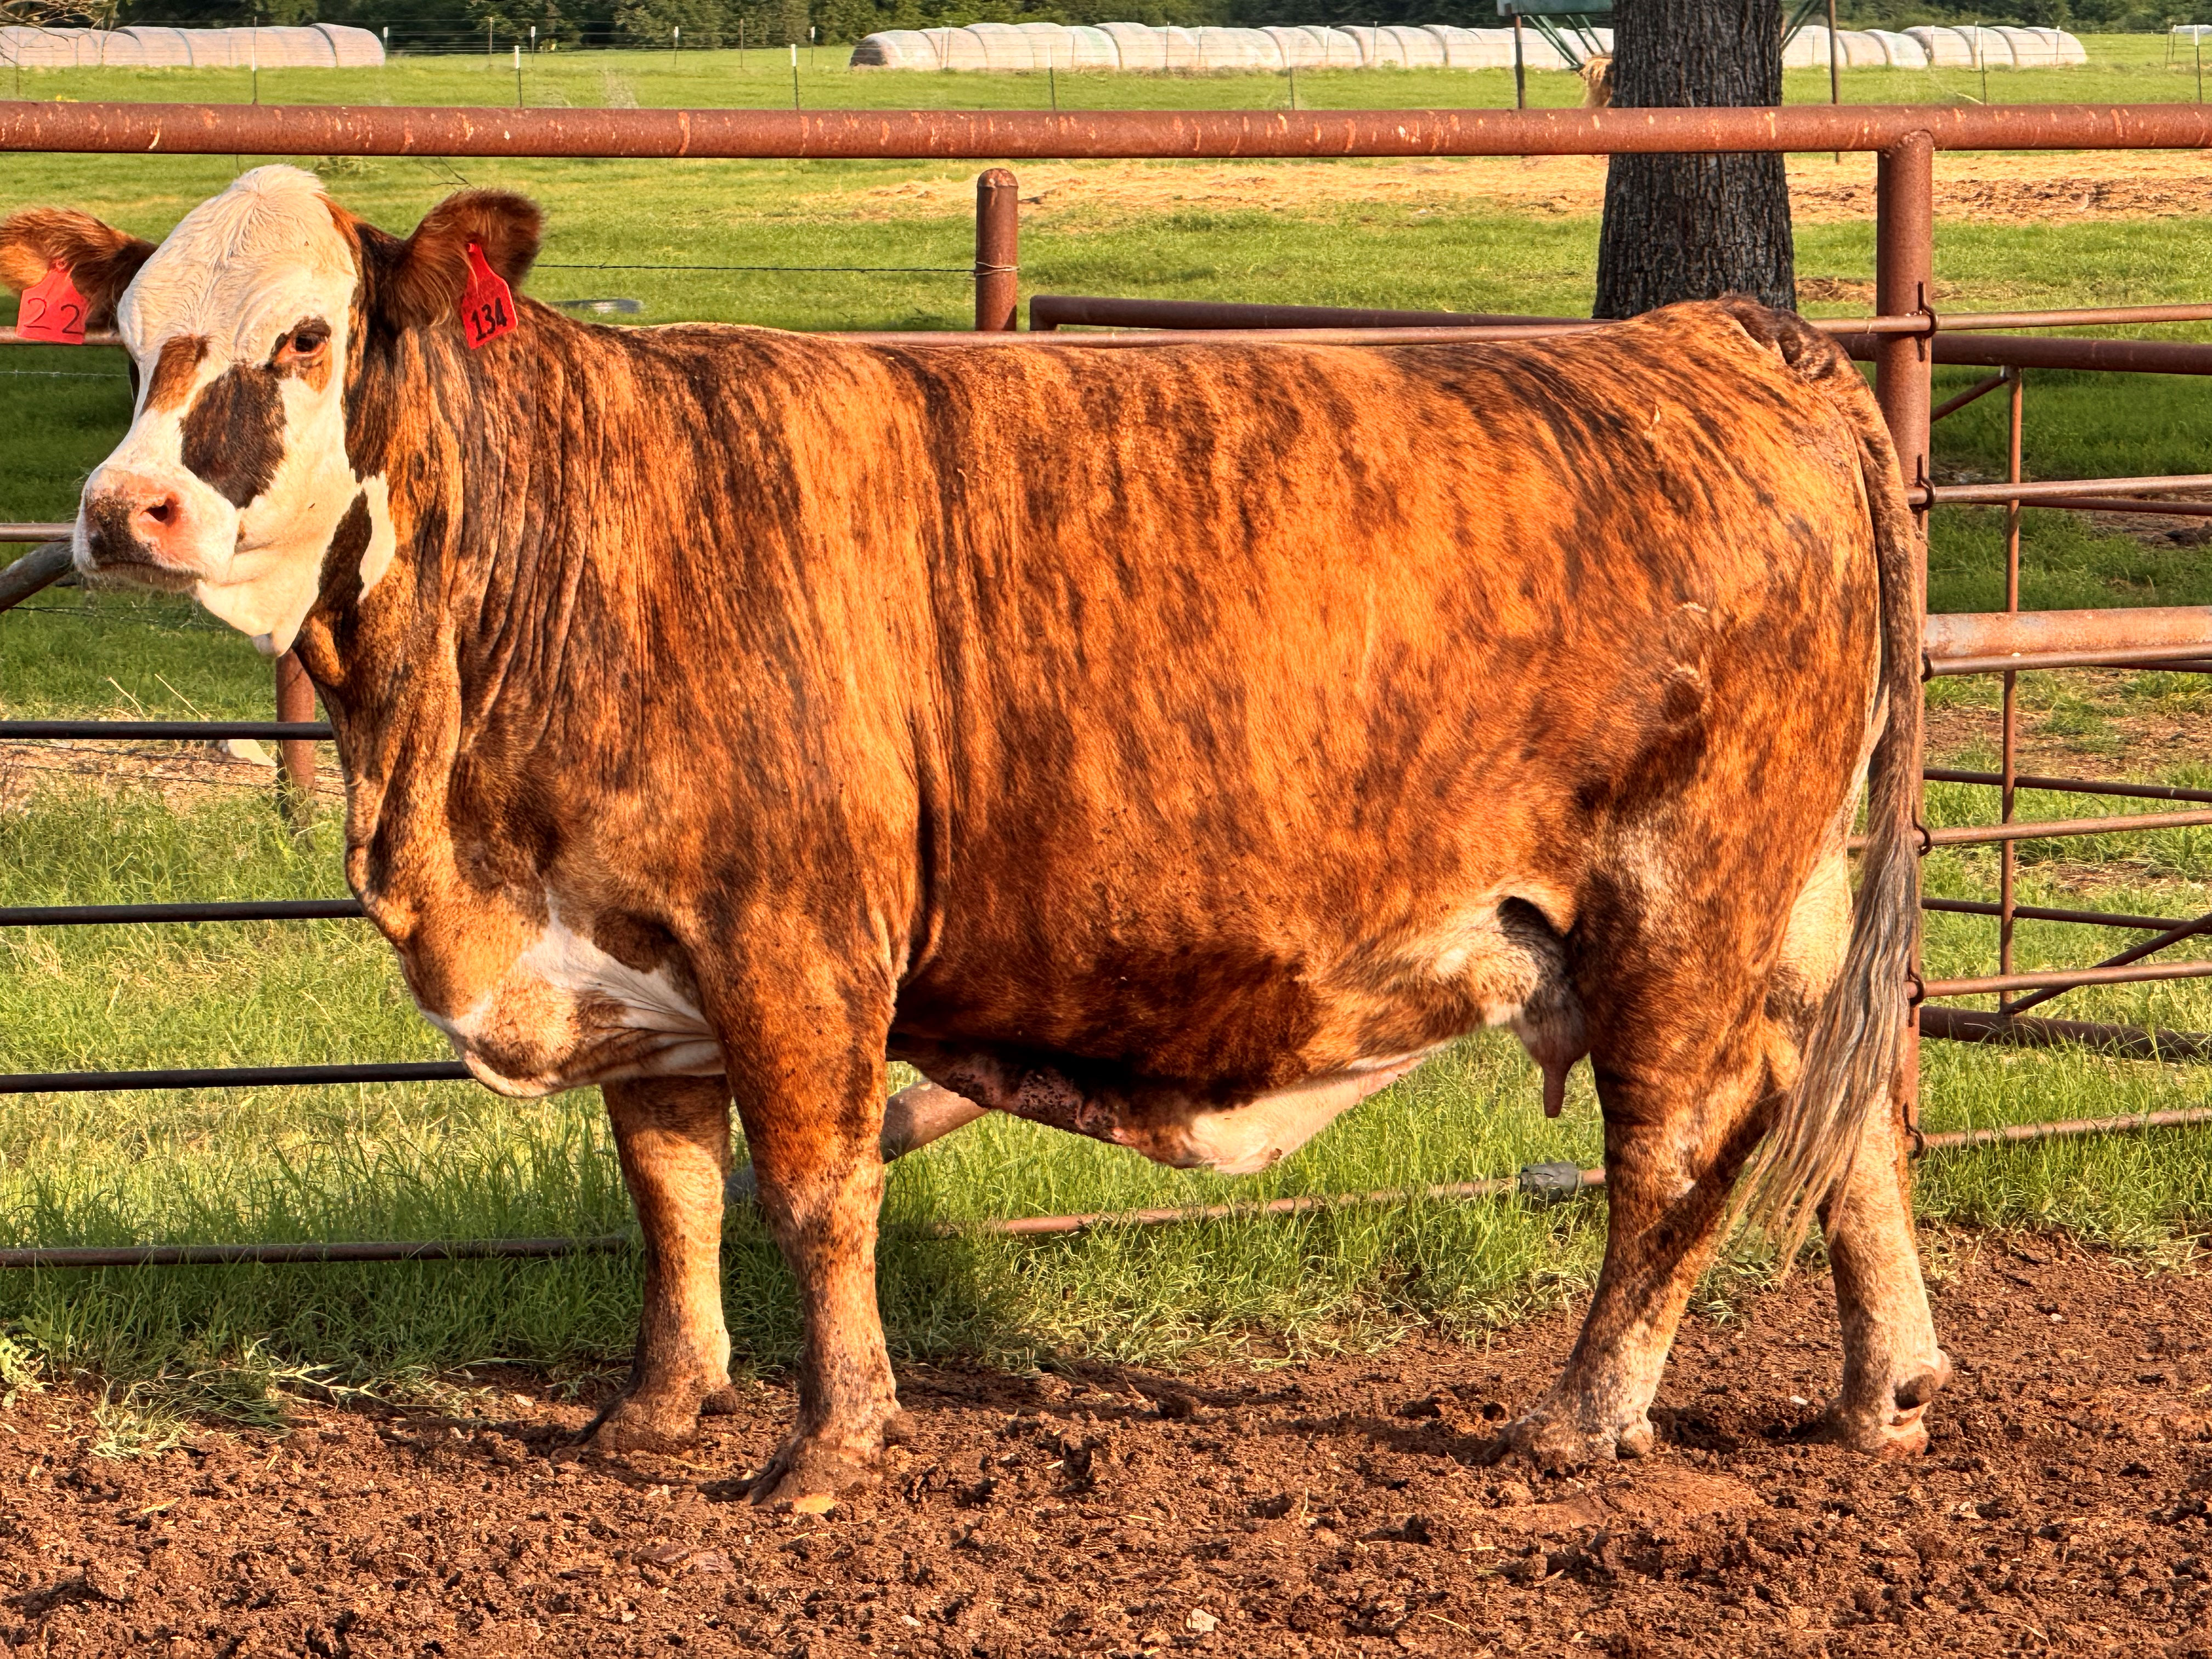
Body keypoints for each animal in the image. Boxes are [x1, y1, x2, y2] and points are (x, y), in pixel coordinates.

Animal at [3, 165, 1946, 1507]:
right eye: (129, 344)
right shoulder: (627, 949)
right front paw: (654, 1413)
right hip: (1797, 906)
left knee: (1683, 1146)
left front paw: (828, 1447)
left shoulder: (795, 940)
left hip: (1683, 905)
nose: (121, 511)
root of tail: (1720, 342)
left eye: (307, 336)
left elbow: (813, 1194)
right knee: (1857, 1116)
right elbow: (668, 1193)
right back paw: (1887, 1389)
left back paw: (1583, 1416)